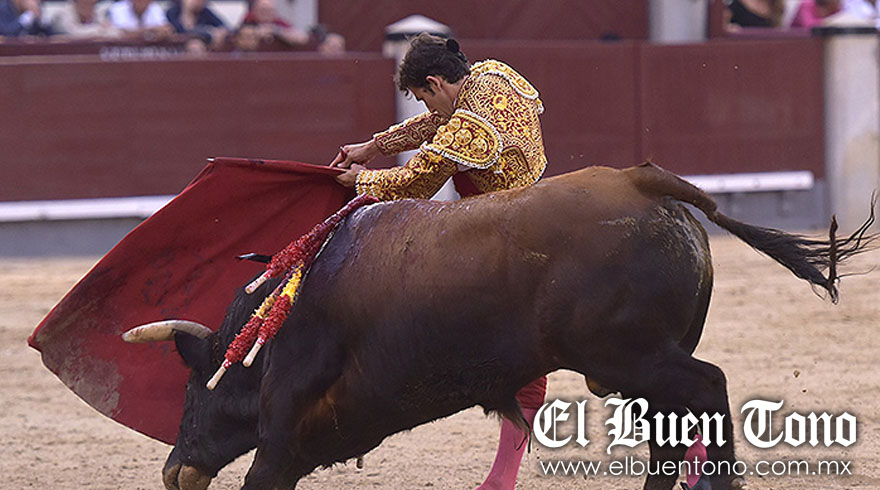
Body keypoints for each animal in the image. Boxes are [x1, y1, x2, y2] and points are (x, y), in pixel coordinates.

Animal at [123, 163, 875, 490]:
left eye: (192, 389)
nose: (174, 469)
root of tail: (643, 180)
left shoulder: (284, 434)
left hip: (635, 358)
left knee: (710, 389)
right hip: (638, 367)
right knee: (671, 425)